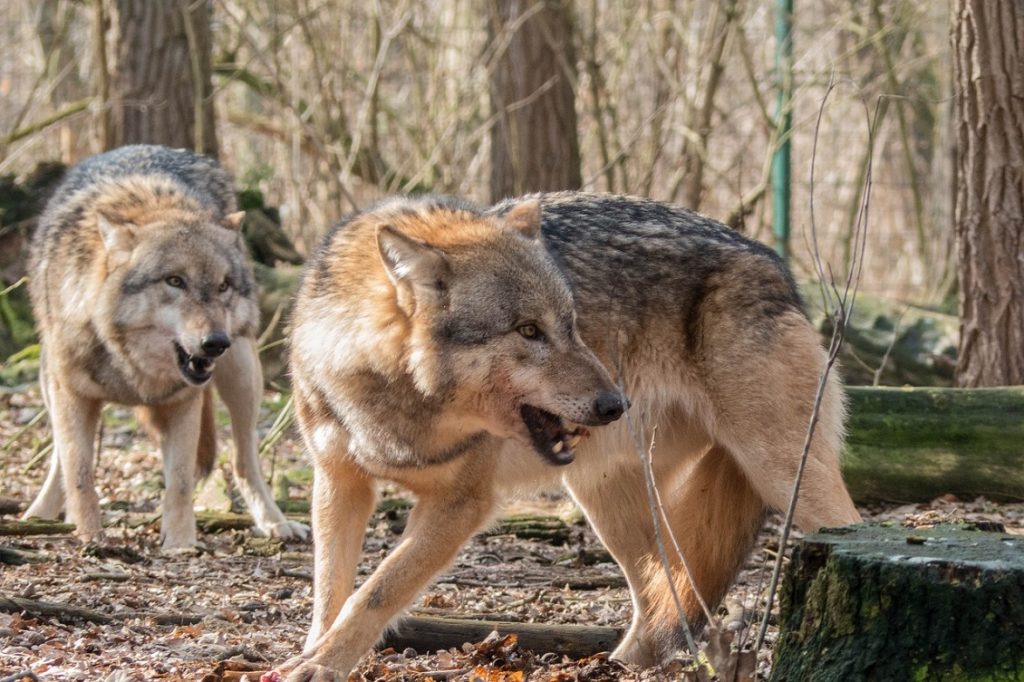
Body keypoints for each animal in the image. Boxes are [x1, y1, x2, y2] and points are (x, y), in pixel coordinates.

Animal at [22, 144, 308, 548]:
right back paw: (40, 515)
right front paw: (91, 537)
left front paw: (180, 545)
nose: (215, 343)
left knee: (243, 460)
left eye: (223, 285)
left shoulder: (183, 402)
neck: (130, 365)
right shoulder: (72, 396)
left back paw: (275, 522)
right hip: (49, 383)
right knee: (59, 460)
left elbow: (182, 483)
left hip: (243, 375)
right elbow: (79, 473)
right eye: (175, 281)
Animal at [279, 193, 862, 679]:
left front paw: (322, 664)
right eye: (528, 331)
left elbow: (376, 591)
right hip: (607, 499)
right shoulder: (338, 483)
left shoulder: (462, 503)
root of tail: (775, 265)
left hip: (785, 477)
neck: (395, 400)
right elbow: (331, 591)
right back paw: (621, 666)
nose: (615, 404)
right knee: (662, 594)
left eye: (572, 324)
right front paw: (313, 652)